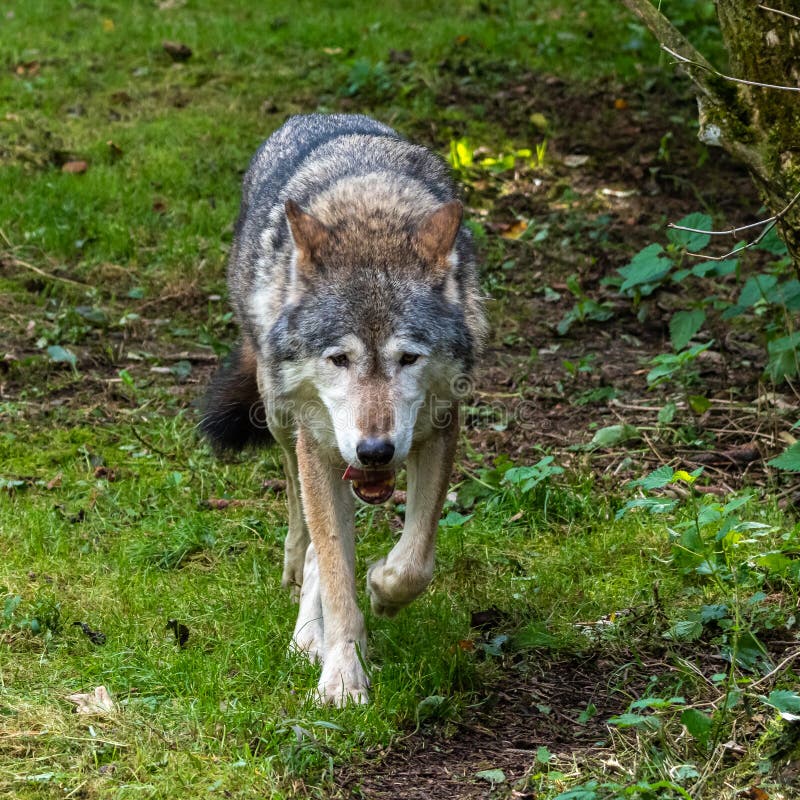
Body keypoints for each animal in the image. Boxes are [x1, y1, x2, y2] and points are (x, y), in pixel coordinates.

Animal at [200, 114, 488, 708]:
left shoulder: (441, 428)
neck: (371, 213)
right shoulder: (318, 446)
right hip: (281, 418)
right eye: (339, 359)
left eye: (408, 358)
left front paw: (382, 589)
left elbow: (413, 563)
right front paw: (341, 675)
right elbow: (335, 572)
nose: (374, 451)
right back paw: (305, 616)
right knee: (303, 524)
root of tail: (316, 117)